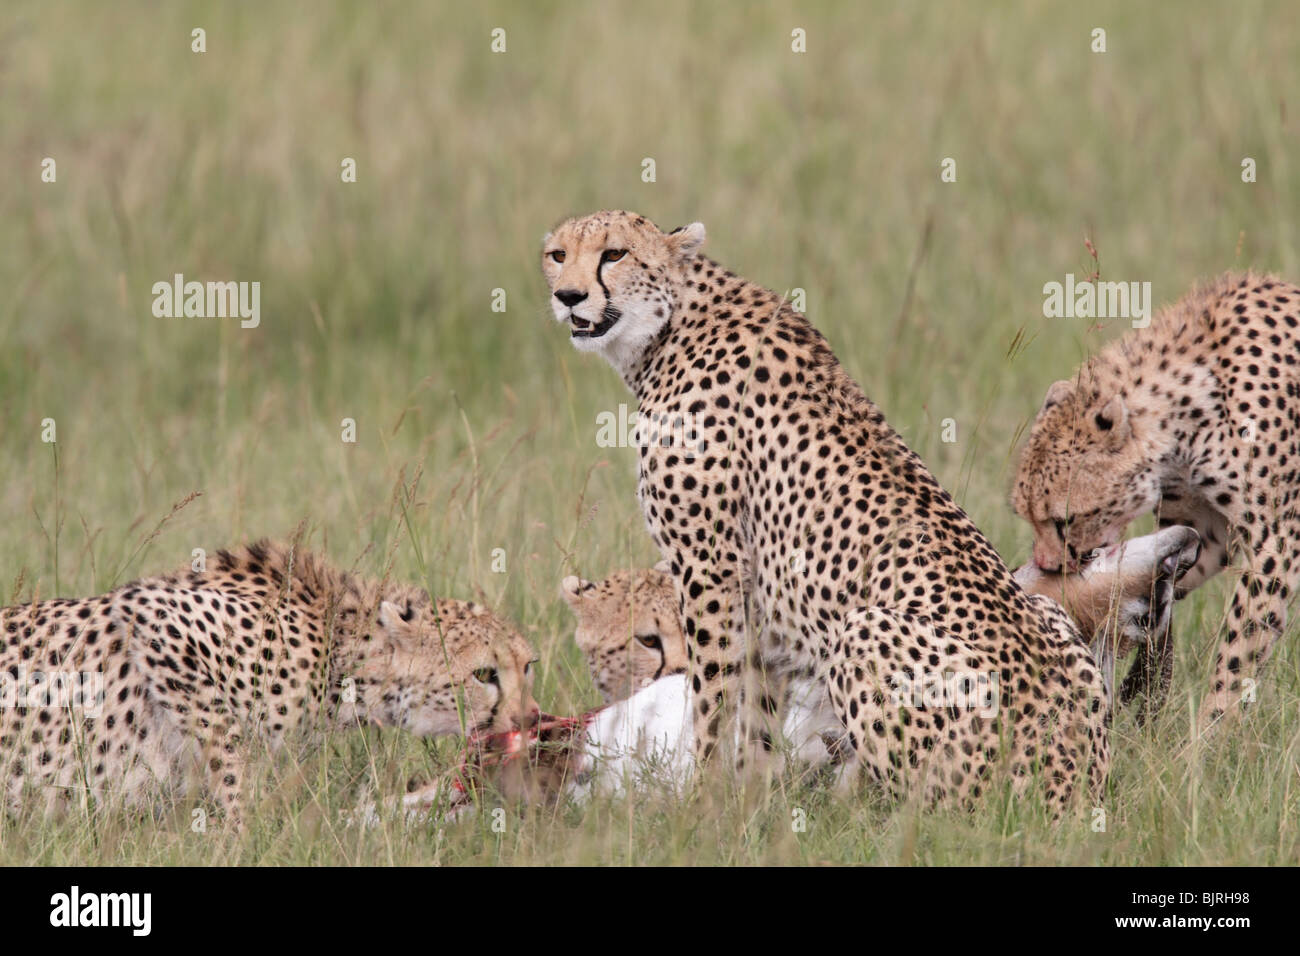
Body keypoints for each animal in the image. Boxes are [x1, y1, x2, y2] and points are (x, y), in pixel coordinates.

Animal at [0, 541, 538, 827]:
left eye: (528, 666)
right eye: (484, 674)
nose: (530, 718)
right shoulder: (155, 617)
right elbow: (231, 762)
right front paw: (242, 832)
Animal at [538, 209, 1107, 806]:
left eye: (614, 254)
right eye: (557, 255)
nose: (569, 296)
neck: (668, 327)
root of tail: (1076, 783)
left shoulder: (711, 569)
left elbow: (711, 699)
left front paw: (702, 799)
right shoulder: (756, 595)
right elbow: (756, 711)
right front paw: (748, 800)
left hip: (864, 636)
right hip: (1050, 611)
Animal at [1013, 273, 1300, 728]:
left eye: (1063, 520)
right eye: (1027, 516)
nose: (1046, 565)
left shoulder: (1275, 542)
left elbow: (1240, 652)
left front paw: (1210, 735)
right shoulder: (1202, 531)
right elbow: (1161, 577)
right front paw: (1143, 683)